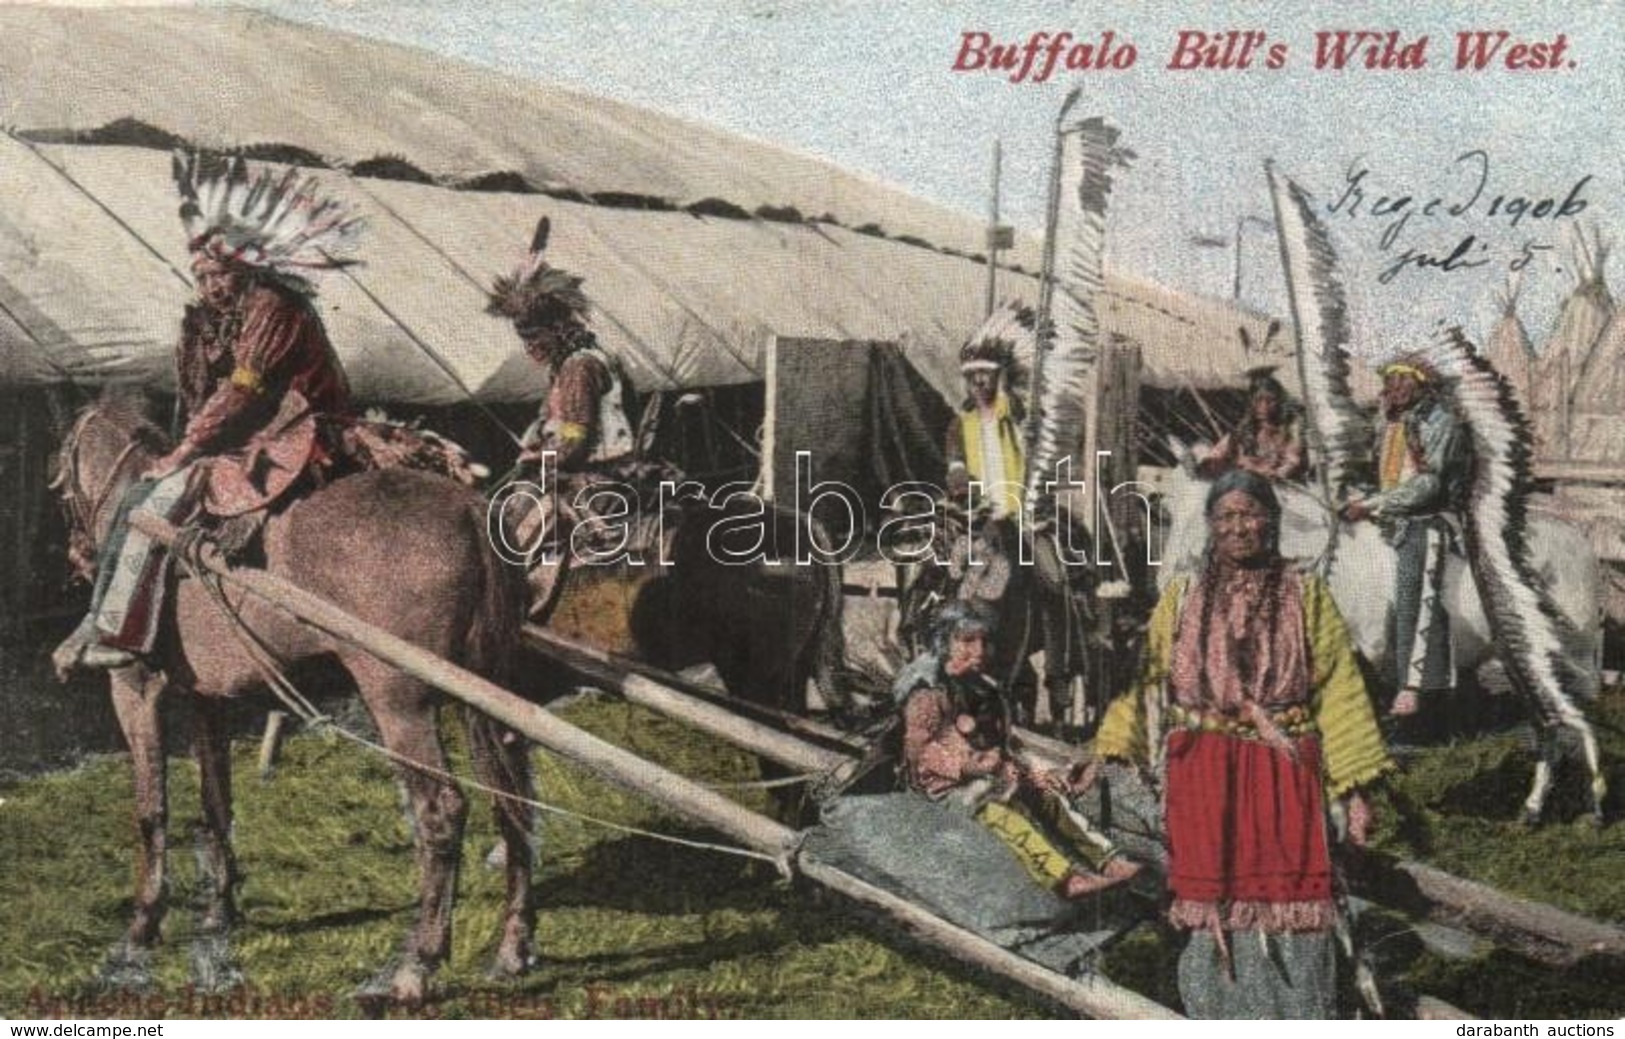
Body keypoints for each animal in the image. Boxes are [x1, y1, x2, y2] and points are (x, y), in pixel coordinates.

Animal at [50, 393, 529, 1001]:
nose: (76, 556)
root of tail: (469, 508)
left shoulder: (134, 687)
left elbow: (151, 809)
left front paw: (143, 924)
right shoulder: (208, 702)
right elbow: (215, 801)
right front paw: (219, 910)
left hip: (400, 702)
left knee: (441, 810)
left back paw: (416, 966)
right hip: (489, 696)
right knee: (513, 799)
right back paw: (512, 949)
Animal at [1163, 442, 1605, 825]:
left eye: (1209, 509)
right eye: (1165, 508)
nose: (1167, 576)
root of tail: (1579, 541)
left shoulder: (1363, 661)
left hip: (1574, 656)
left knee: (1582, 713)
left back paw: (1594, 806)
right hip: (1520, 661)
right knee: (1547, 723)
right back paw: (1532, 810)